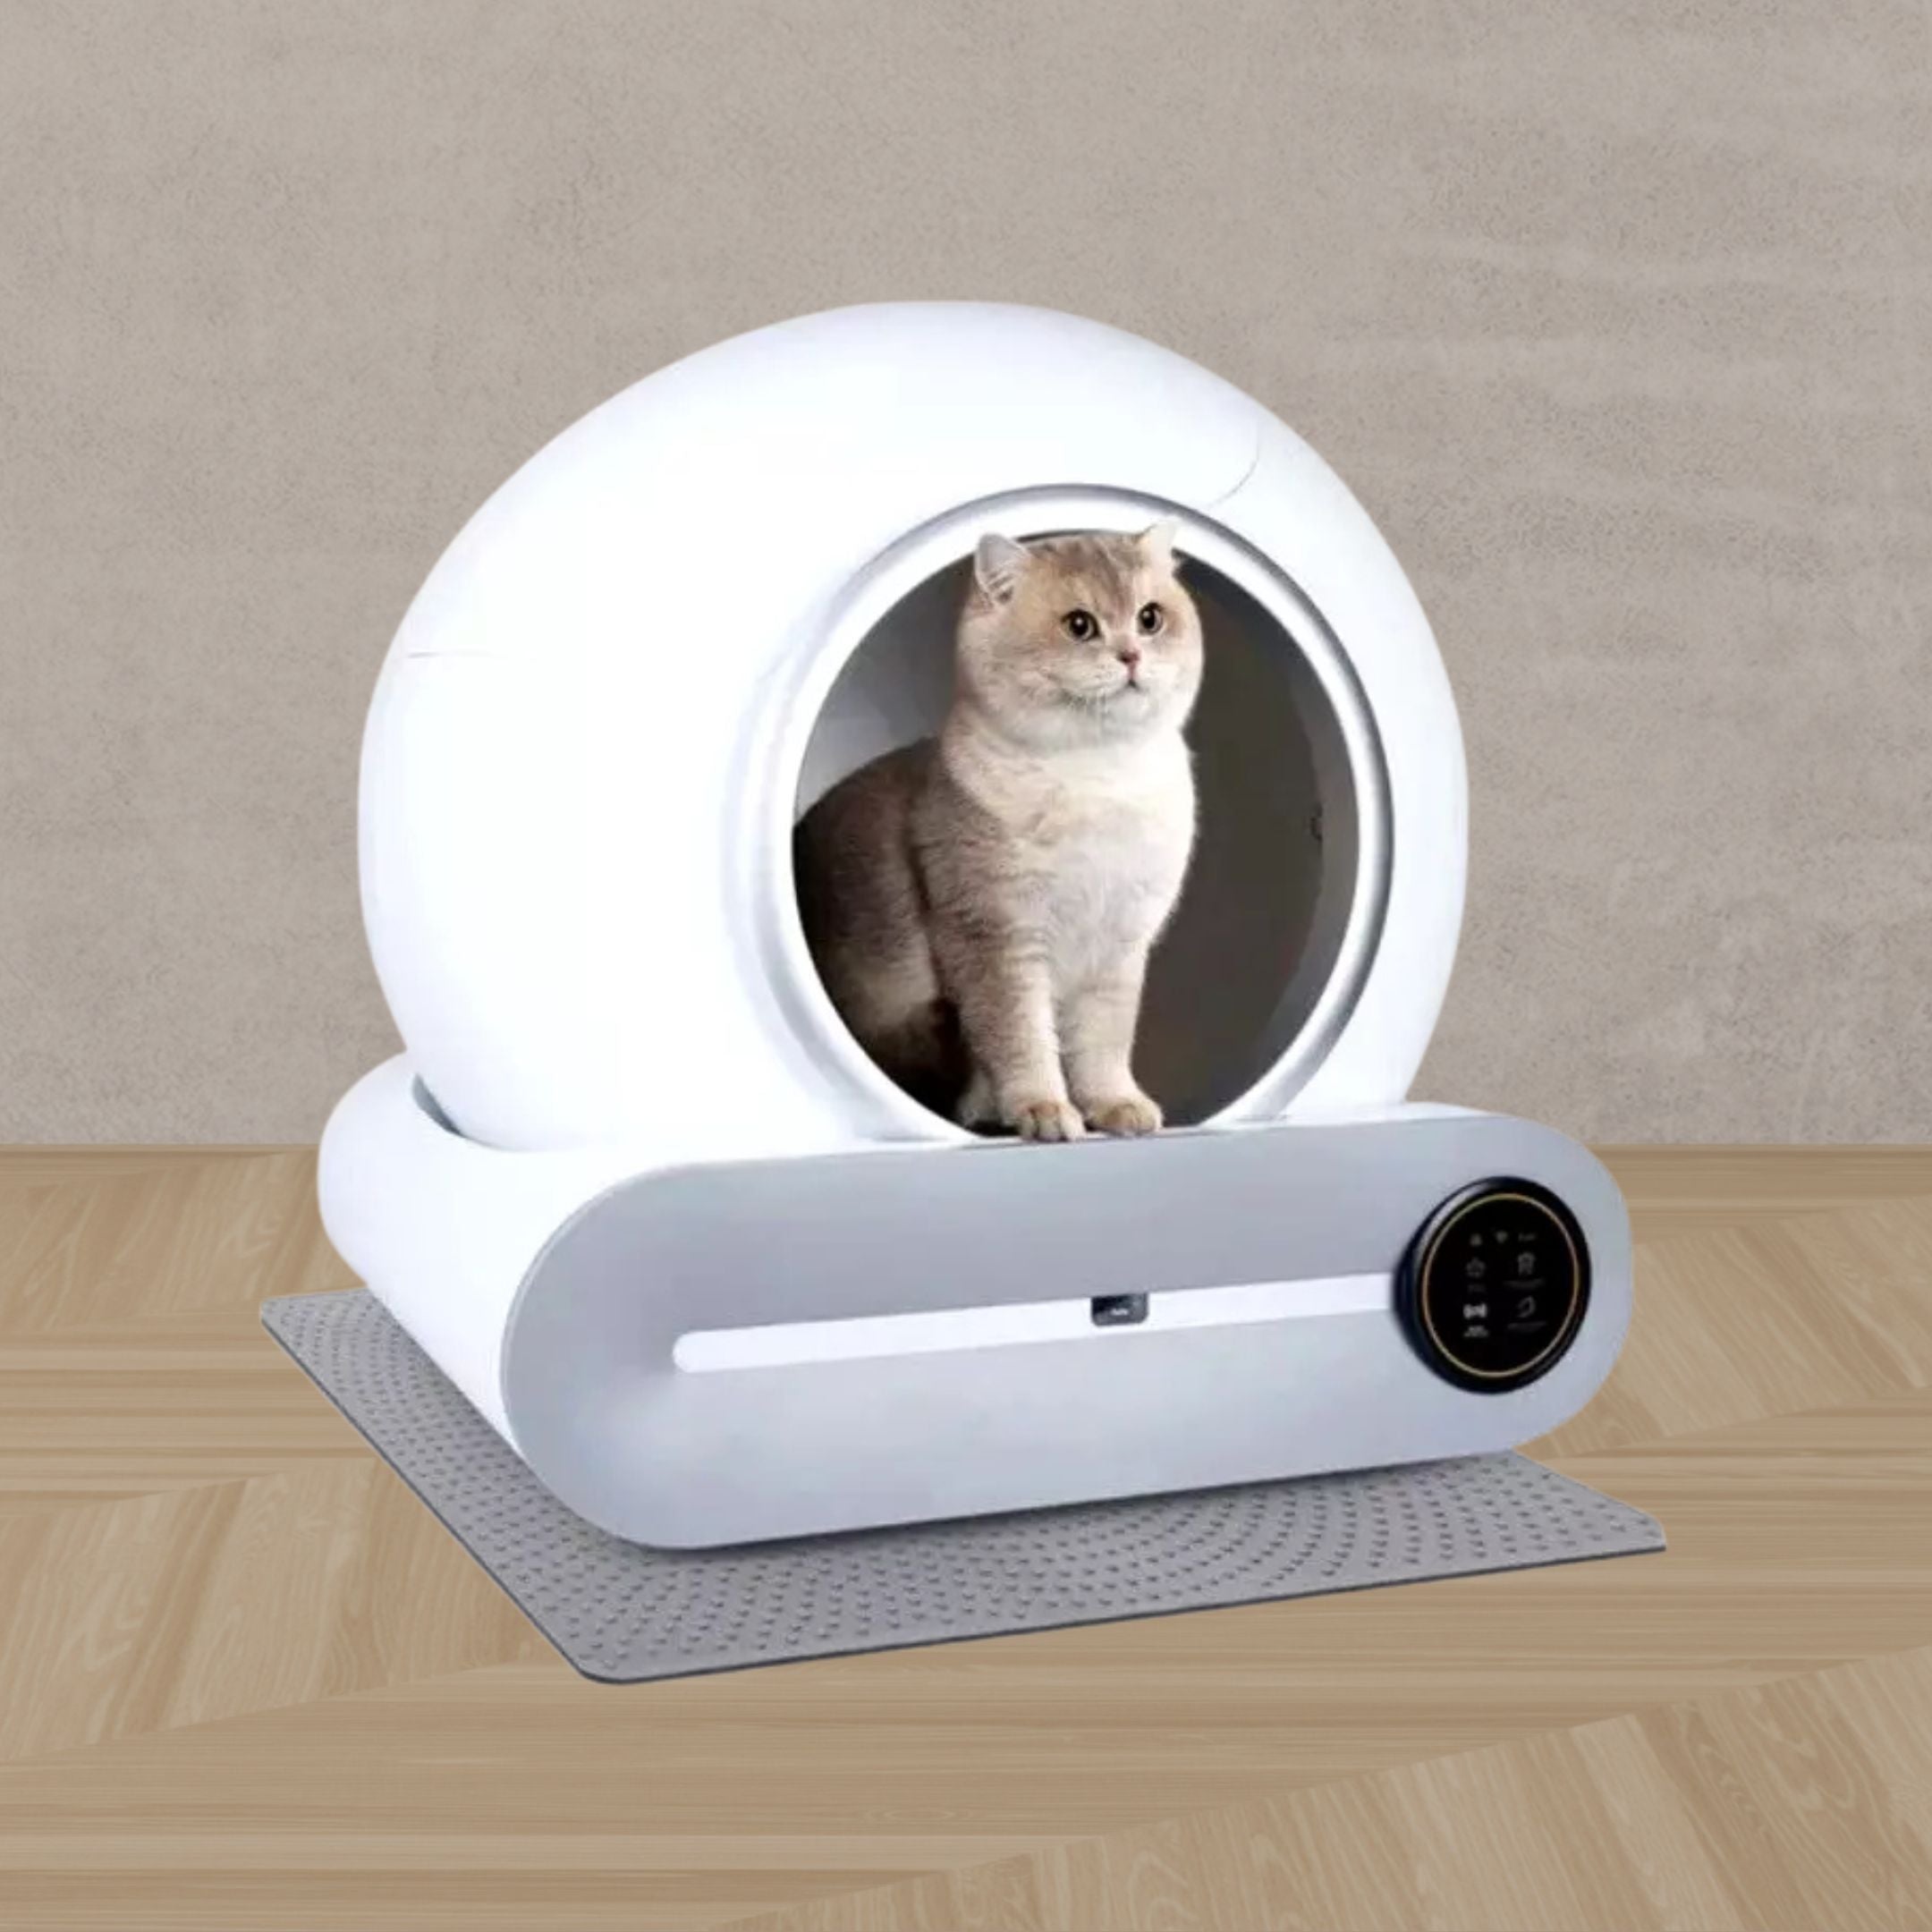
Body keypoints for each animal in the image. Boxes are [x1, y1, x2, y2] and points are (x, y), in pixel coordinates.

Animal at [792, 521, 1198, 1136]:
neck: (1099, 780)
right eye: (1080, 625)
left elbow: (1104, 1039)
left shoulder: (1118, 945)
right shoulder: (996, 935)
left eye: (1150, 618)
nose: (1131, 655)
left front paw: (1114, 1105)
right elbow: (1020, 1037)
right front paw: (1042, 1109)